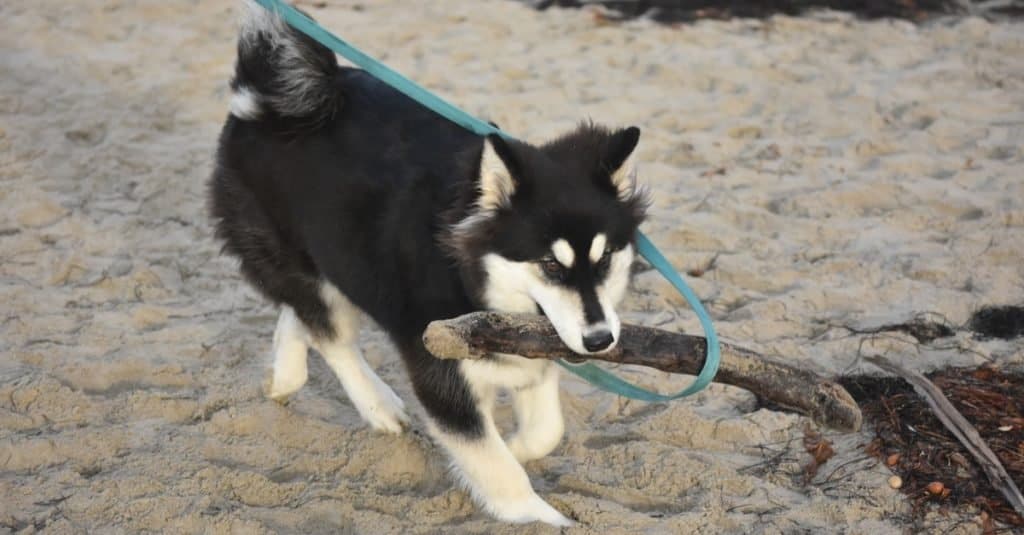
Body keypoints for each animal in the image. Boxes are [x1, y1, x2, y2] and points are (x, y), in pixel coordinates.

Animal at [209, 1, 647, 524]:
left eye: (605, 260)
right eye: (550, 265)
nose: (600, 340)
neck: (467, 271)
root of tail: (266, 102)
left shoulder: (535, 352)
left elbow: (544, 431)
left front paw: (516, 445)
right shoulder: (439, 369)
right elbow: (492, 460)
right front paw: (540, 519)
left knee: (302, 312)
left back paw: (286, 374)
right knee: (332, 335)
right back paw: (377, 405)